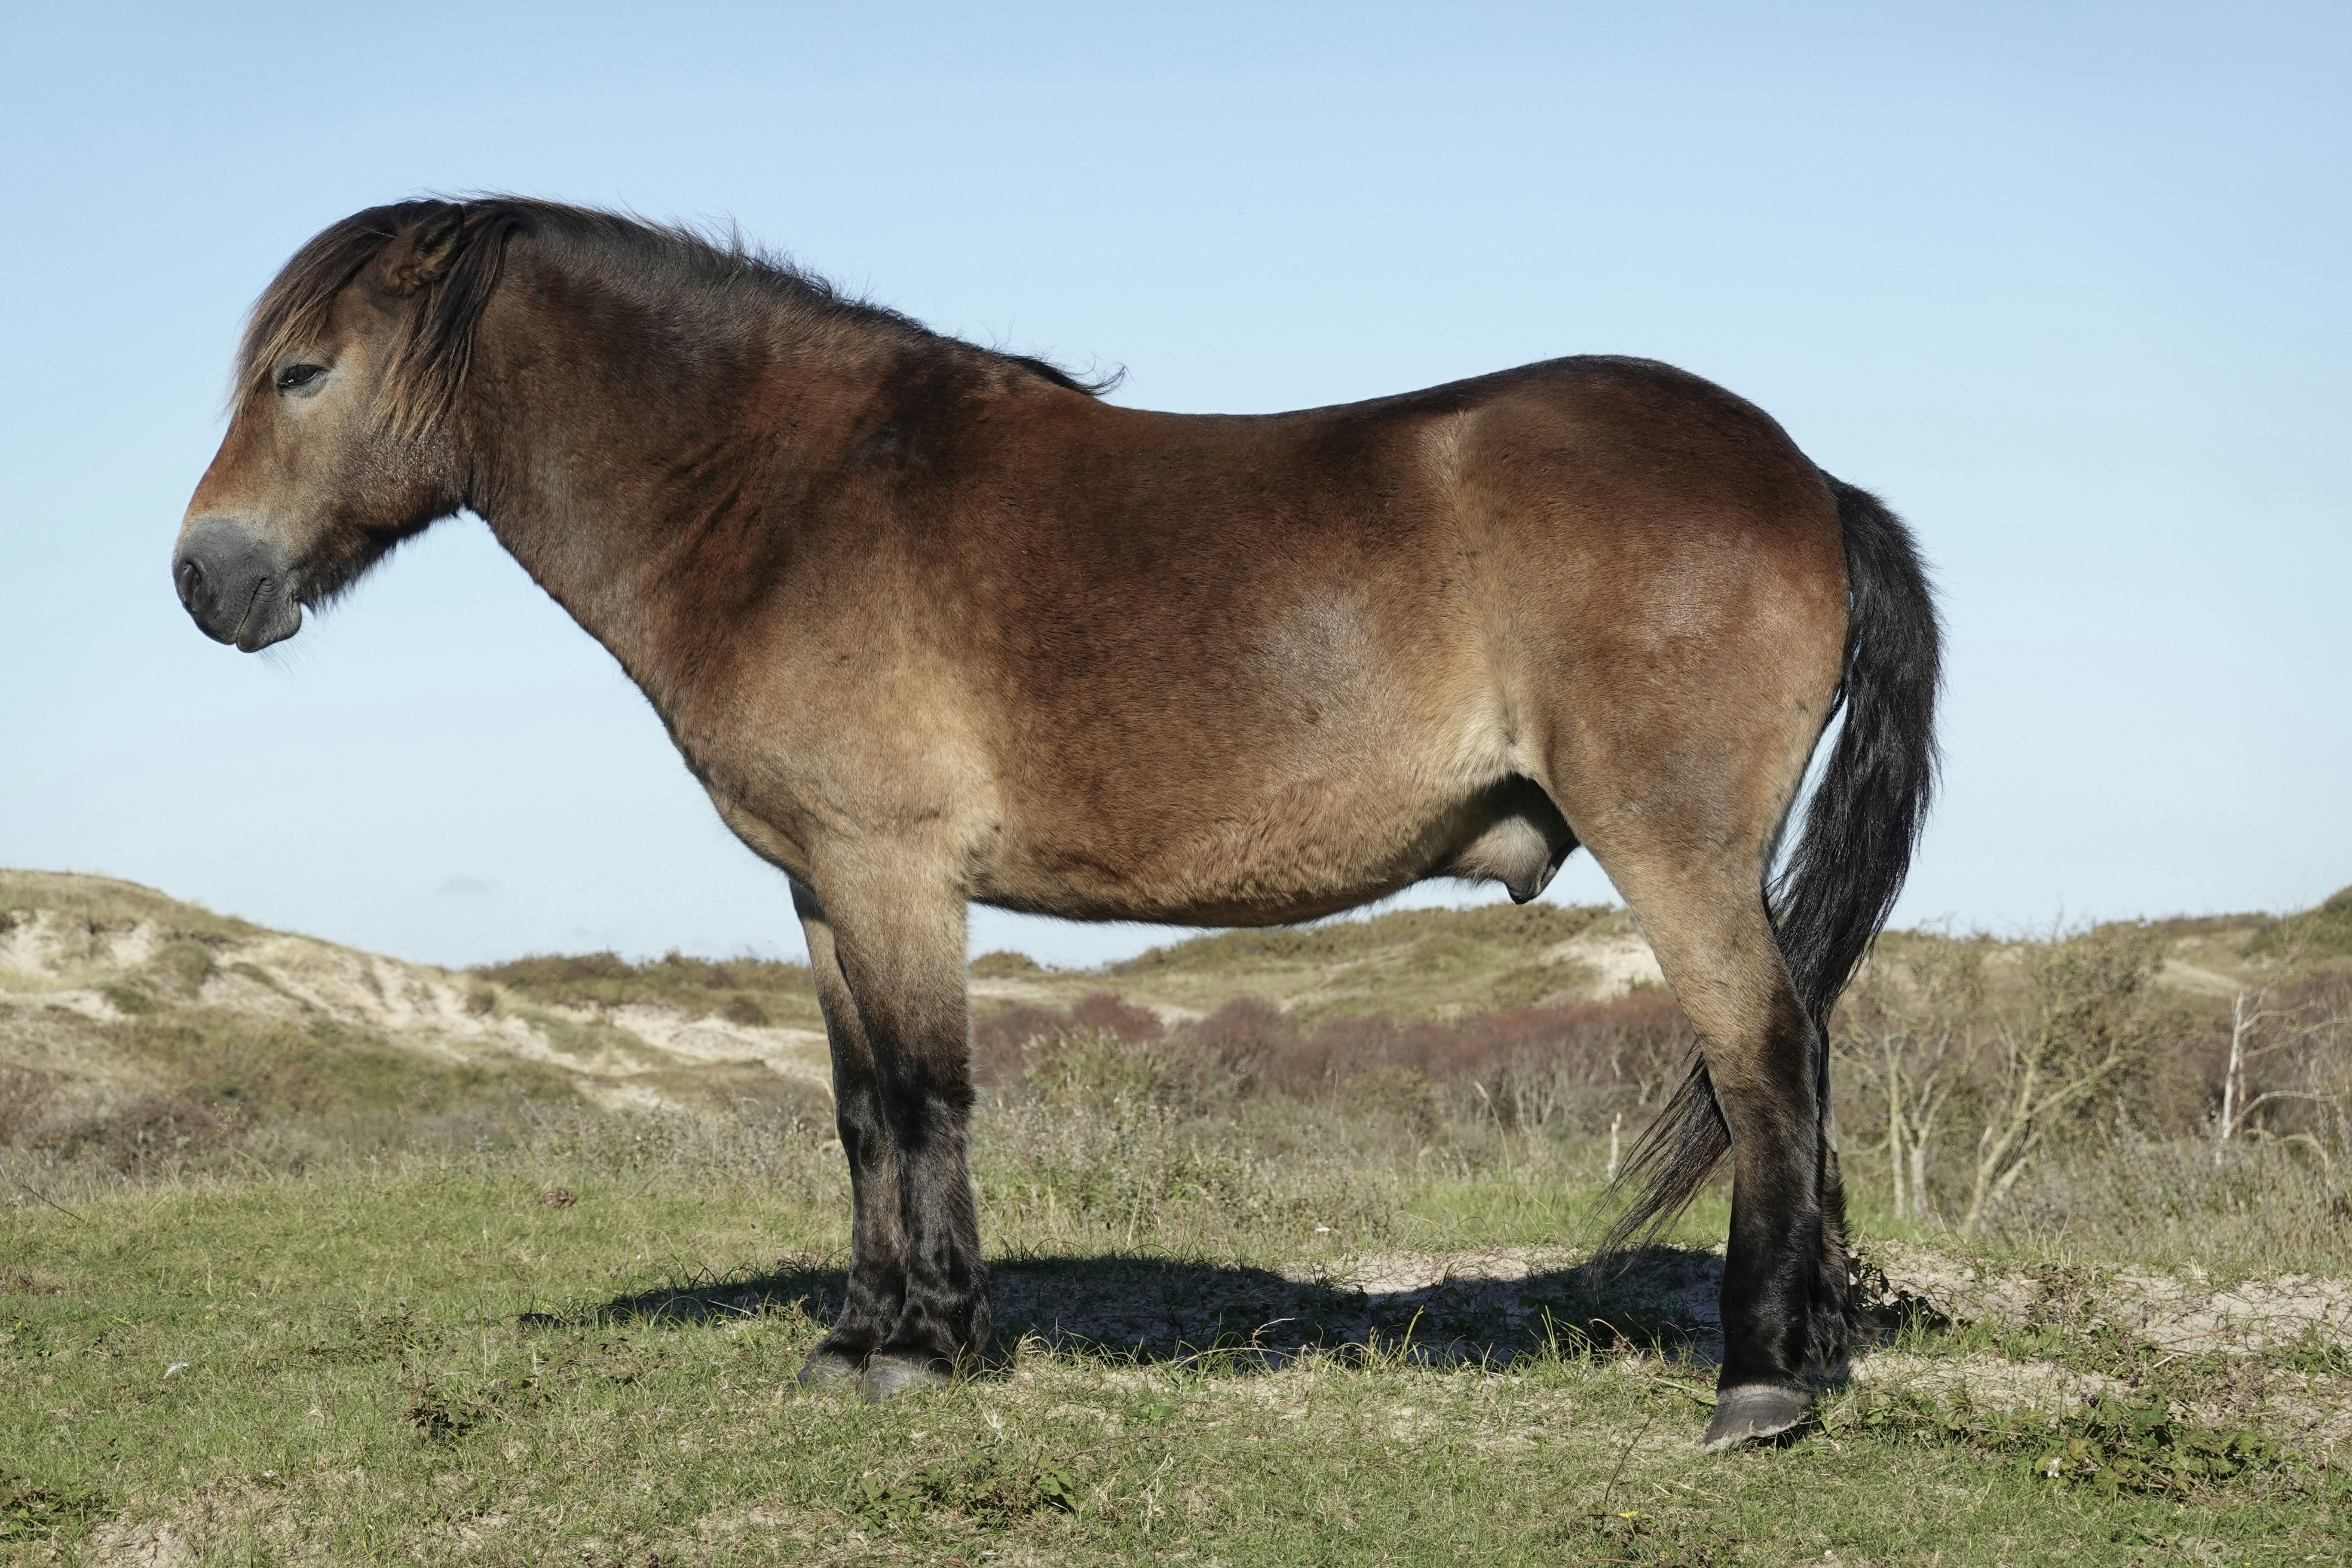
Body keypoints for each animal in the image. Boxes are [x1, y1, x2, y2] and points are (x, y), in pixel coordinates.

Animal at [173, 197, 1938, 1448]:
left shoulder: (893, 870)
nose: (205, 578)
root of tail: (1801, 476)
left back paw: (1762, 1380)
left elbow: (927, 1094)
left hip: (1676, 848)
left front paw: (932, 1339)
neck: (786, 496)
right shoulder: (824, 885)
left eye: (304, 371)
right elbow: (860, 1110)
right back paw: (1814, 1345)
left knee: (1764, 1057)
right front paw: (858, 1332)